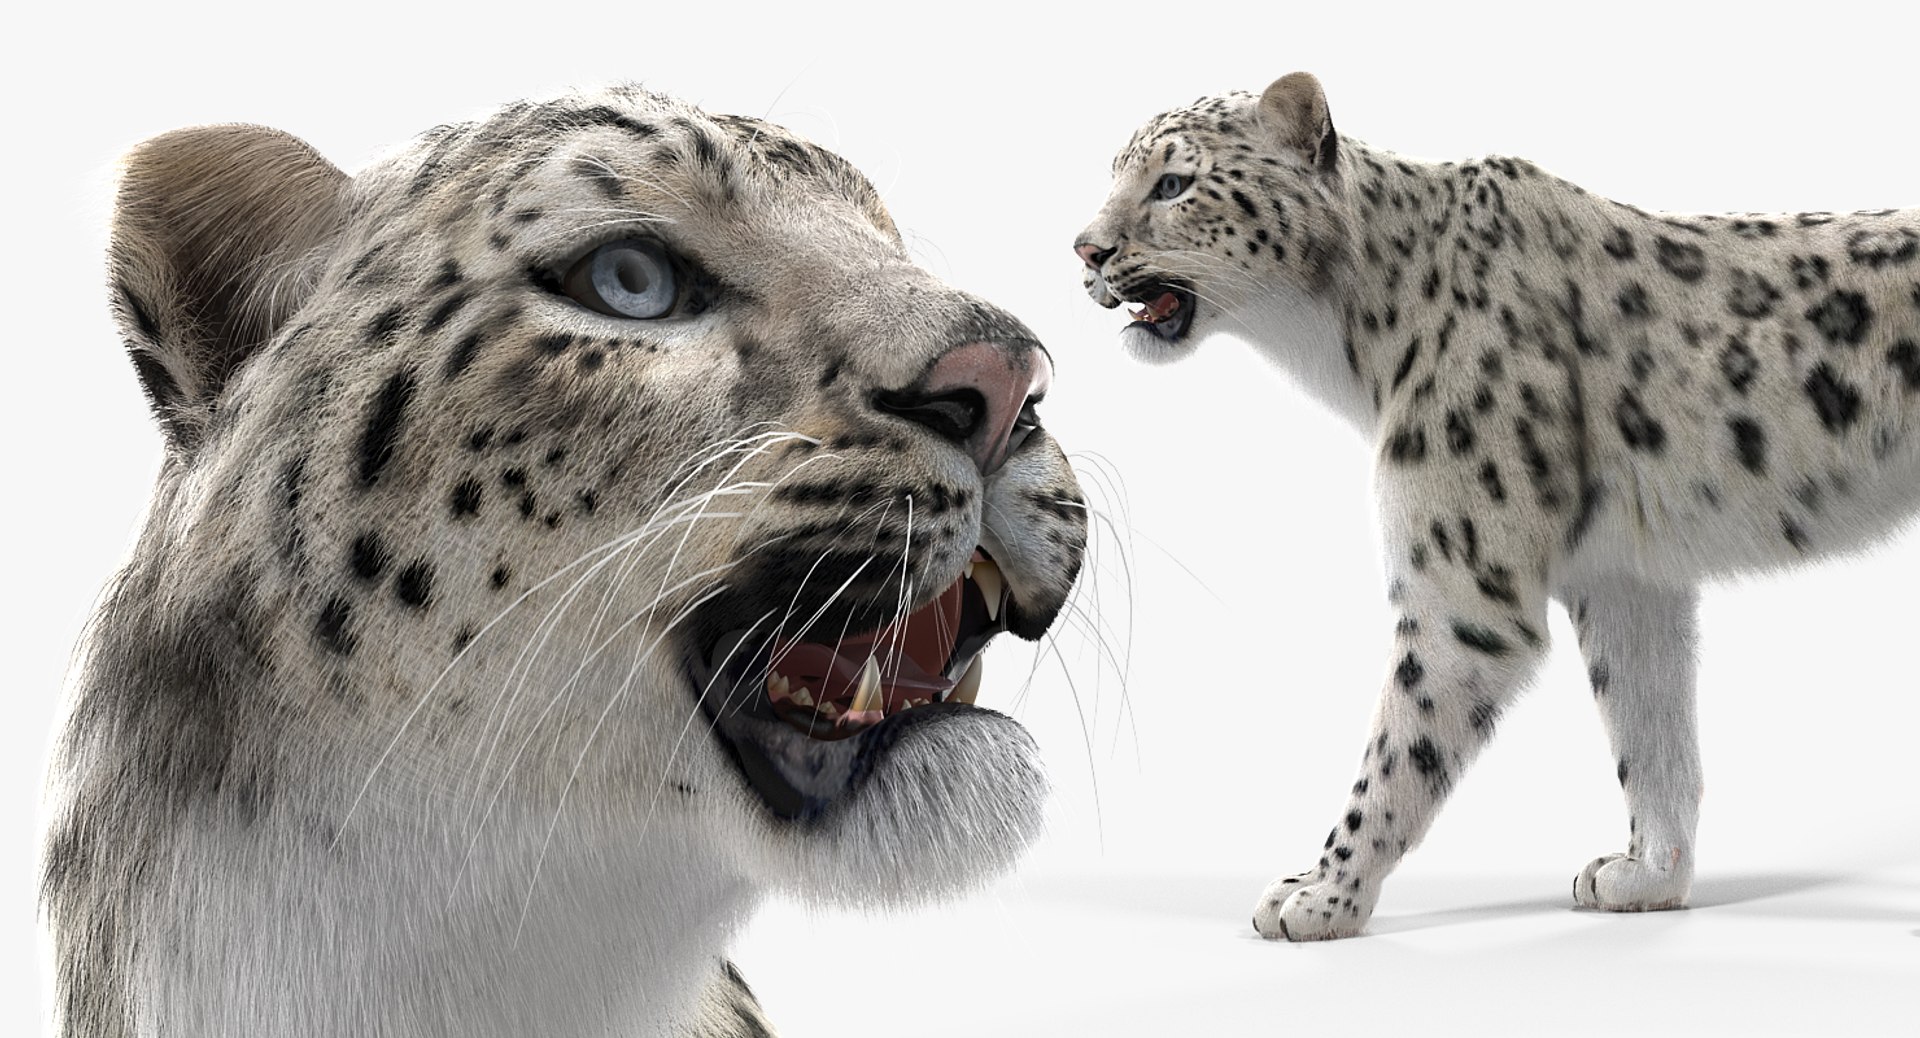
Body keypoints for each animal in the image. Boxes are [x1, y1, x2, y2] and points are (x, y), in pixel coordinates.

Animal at [1075, 71, 1920, 941]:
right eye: (1115, 174)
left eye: (1174, 183)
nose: (1085, 249)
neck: (1354, 349)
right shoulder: (1625, 576)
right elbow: (1650, 728)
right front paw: (1648, 875)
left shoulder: (1461, 585)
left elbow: (1398, 745)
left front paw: (1322, 894)